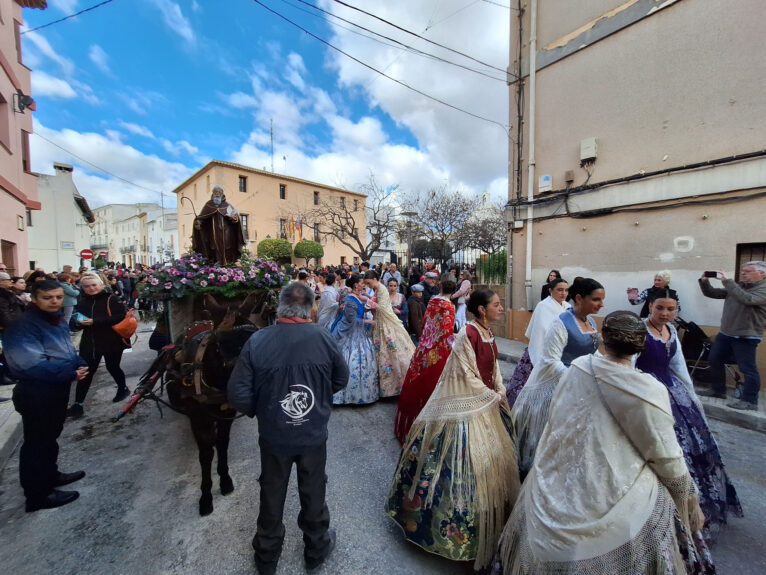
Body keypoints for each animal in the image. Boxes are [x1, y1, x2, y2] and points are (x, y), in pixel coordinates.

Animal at [126, 292, 280, 516]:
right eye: (218, 344)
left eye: (253, 338)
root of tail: (199, 321)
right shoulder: (199, 419)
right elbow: (206, 454)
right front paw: (206, 497)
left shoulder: (226, 414)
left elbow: (222, 444)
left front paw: (225, 480)